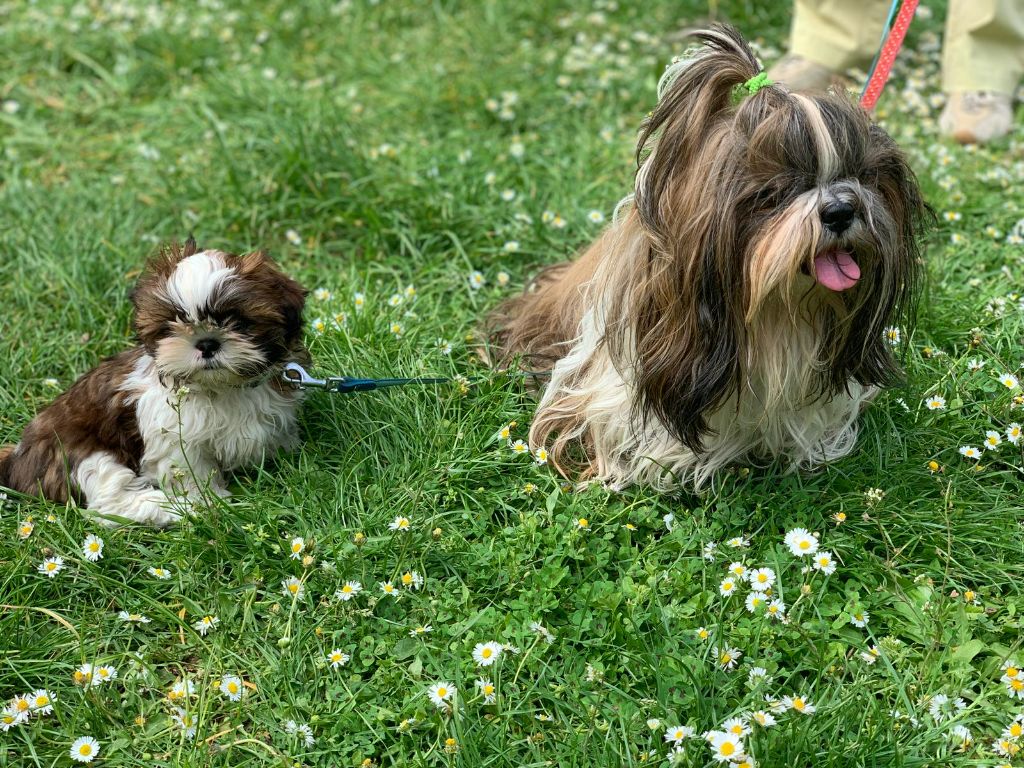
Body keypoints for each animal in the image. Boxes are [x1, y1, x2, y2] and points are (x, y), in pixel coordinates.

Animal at [0, 238, 309, 526]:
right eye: (175, 322)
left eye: (238, 321)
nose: (207, 343)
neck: (222, 387)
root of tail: (17, 460)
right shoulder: (174, 438)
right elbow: (191, 470)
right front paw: (207, 501)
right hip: (80, 455)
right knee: (109, 500)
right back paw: (170, 509)